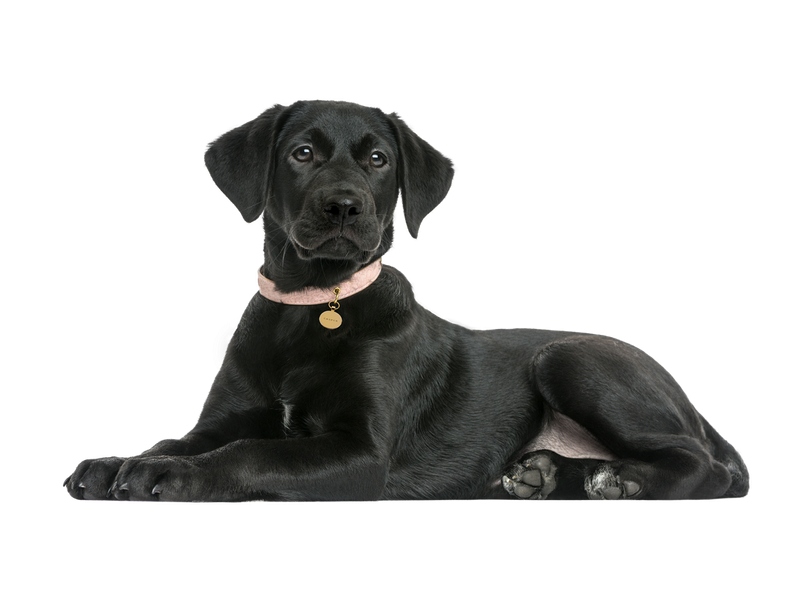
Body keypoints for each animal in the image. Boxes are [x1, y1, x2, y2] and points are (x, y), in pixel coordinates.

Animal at [62, 102, 752, 502]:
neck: (312, 305)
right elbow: (175, 440)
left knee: (706, 467)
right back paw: (546, 476)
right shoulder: (220, 420)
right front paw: (117, 463)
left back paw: (626, 479)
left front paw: (172, 479)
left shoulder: (362, 453)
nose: (344, 207)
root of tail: (691, 405)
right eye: (301, 153)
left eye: (377, 159)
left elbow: (253, 452)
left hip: (568, 359)